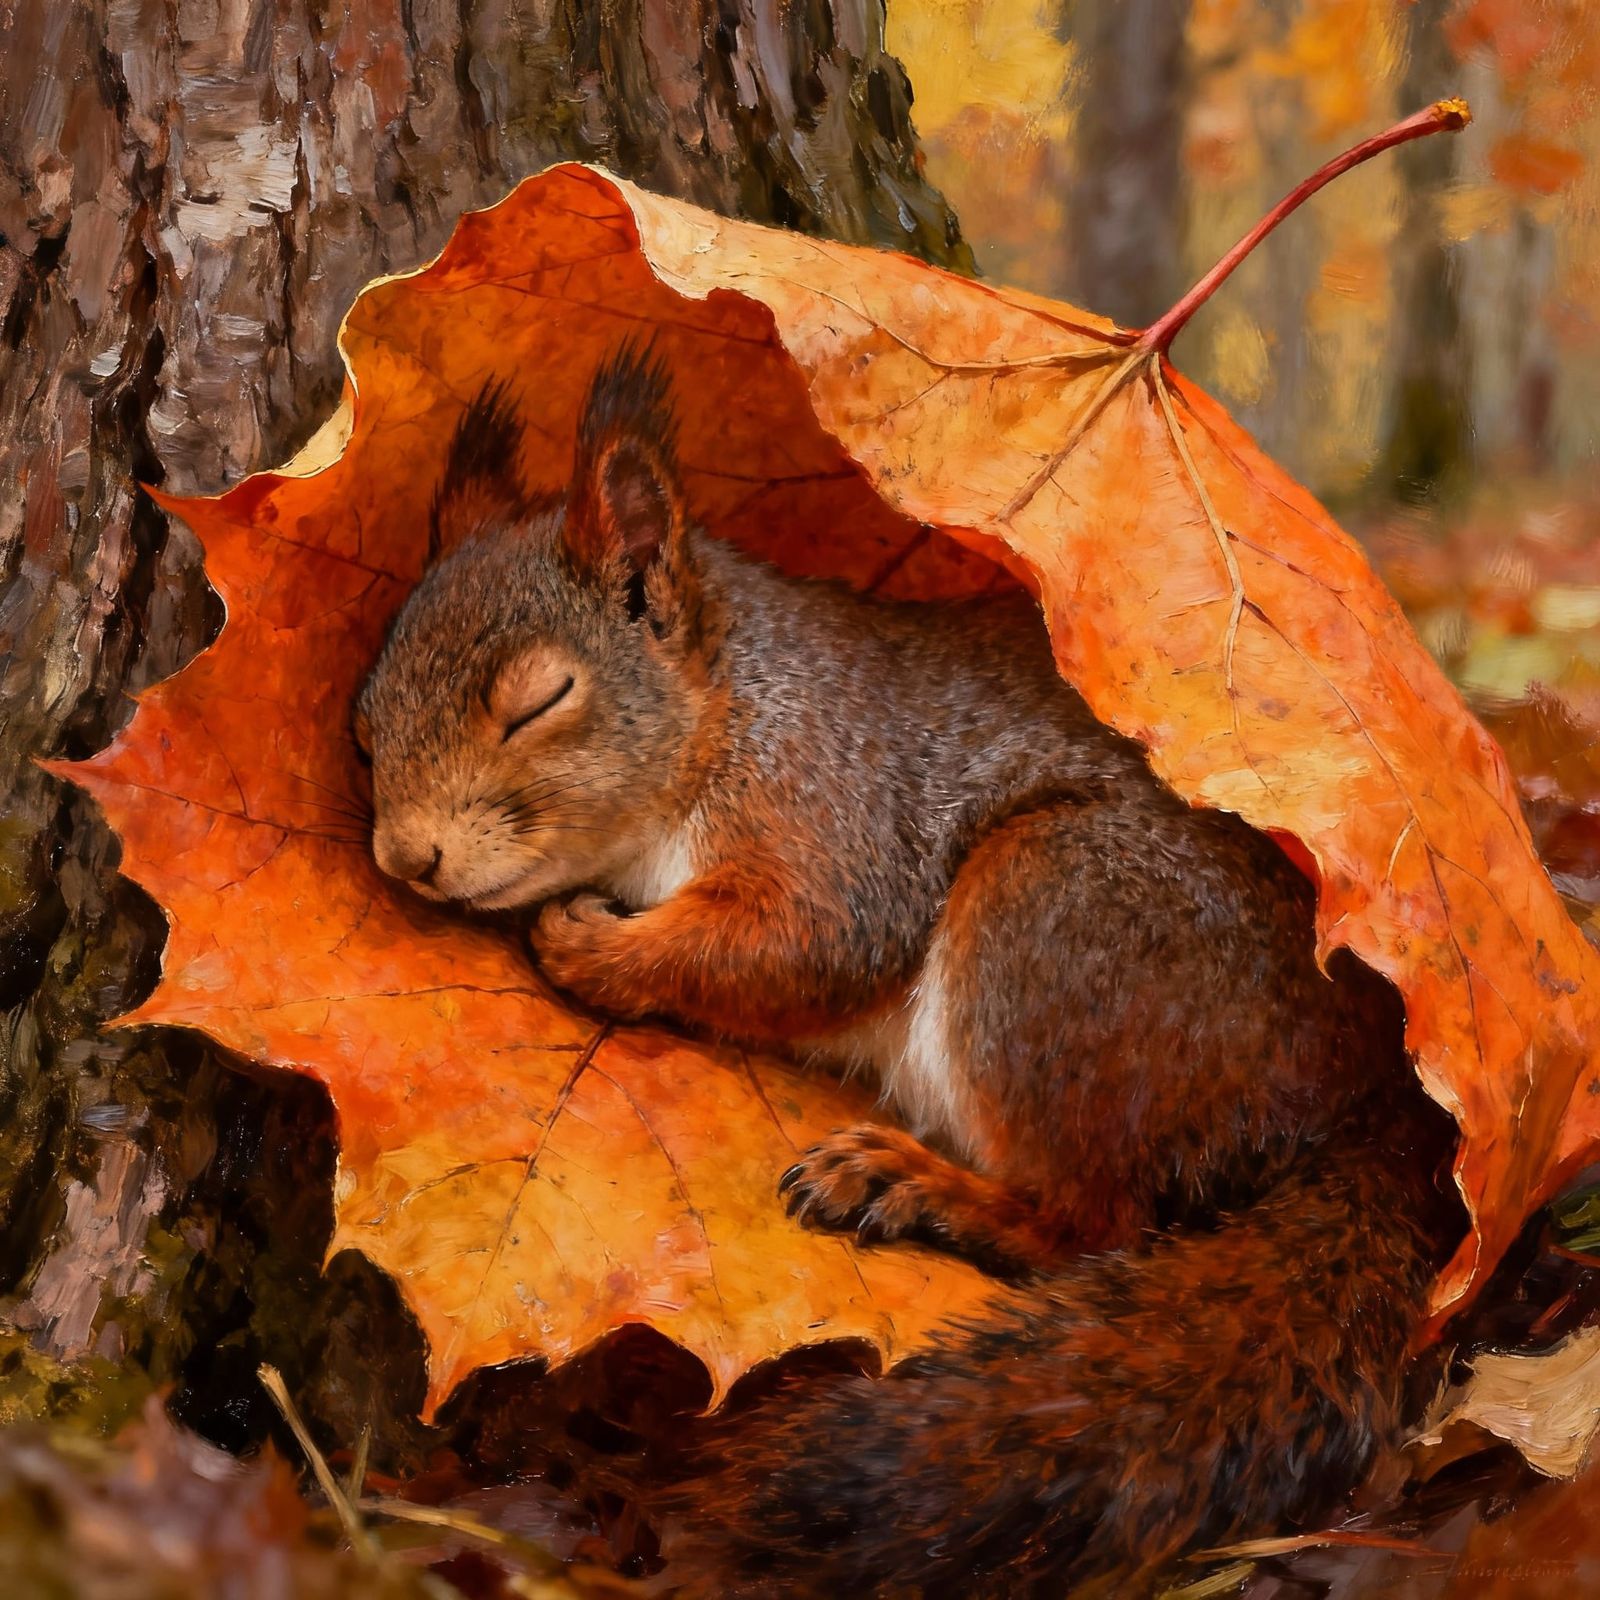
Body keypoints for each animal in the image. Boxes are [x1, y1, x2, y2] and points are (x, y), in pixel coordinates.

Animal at [355, 344, 1463, 1597]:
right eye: (365, 719)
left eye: (540, 701)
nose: (408, 857)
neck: (726, 705)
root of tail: (1363, 1099)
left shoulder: (830, 805)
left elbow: (803, 943)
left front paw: (590, 946)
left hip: (1055, 910)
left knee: (1097, 1222)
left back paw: (920, 1186)